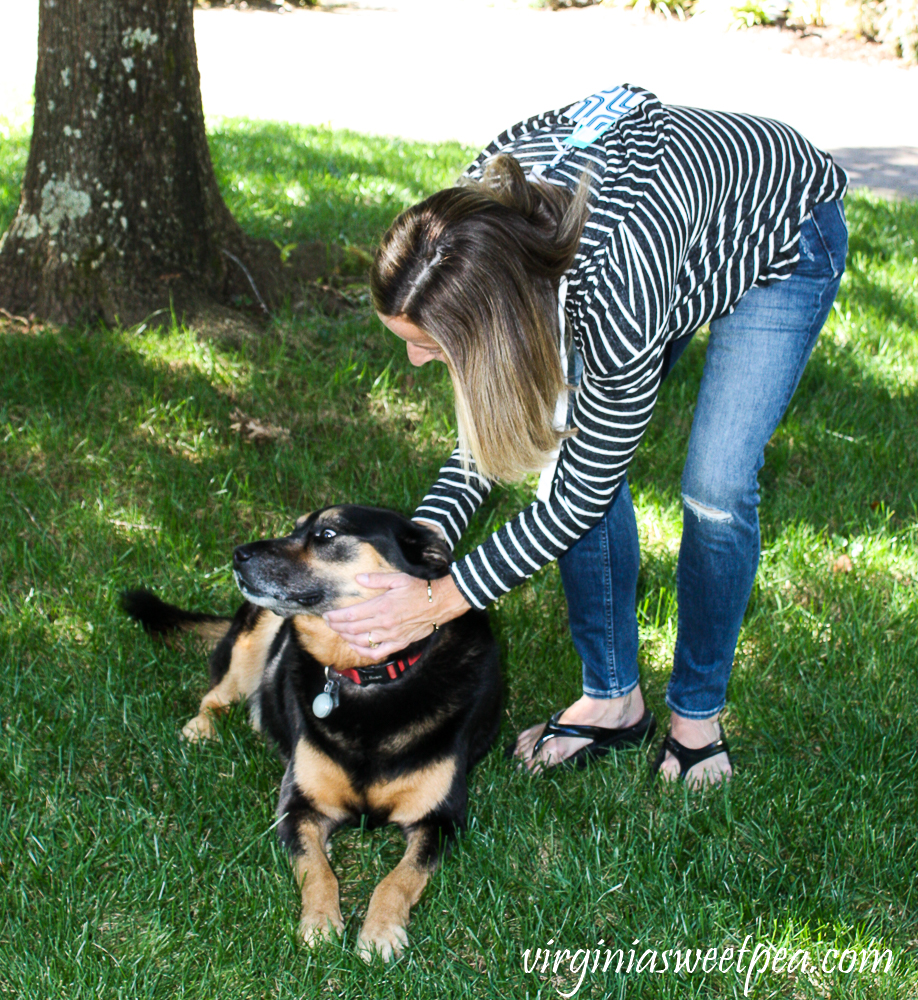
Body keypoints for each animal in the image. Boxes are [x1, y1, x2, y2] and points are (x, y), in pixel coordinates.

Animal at [122, 508, 504, 960]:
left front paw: (380, 931)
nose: (238, 554)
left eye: (326, 534)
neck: (369, 676)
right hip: (258, 629)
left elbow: (399, 879)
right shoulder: (298, 806)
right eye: (294, 528)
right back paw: (202, 726)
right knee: (220, 691)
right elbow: (316, 869)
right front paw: (320, 923)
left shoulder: (440, 820)